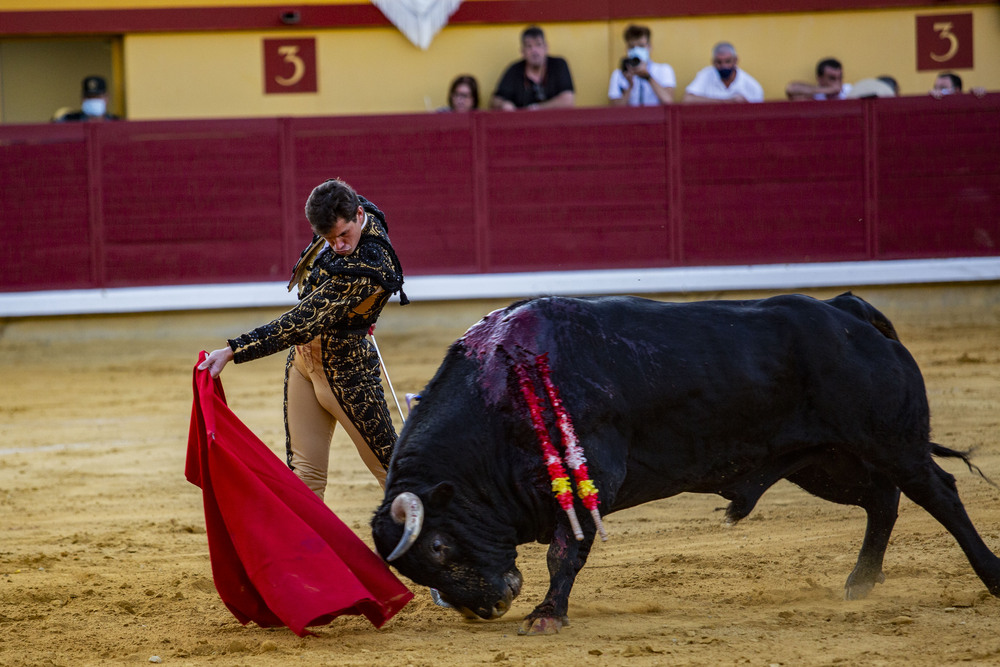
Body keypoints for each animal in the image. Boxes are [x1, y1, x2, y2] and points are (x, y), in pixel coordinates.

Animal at [370, 294, 1000, 636]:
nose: (490, 605)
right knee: (881, 499)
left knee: (939, 493)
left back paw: (990, 576)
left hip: (891, 440)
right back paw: (860, 581)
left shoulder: (591, 477)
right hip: (822, 463)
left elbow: (565, 552)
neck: (500, 392)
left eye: (439, 547)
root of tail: (848, 311)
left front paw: (547, 614)